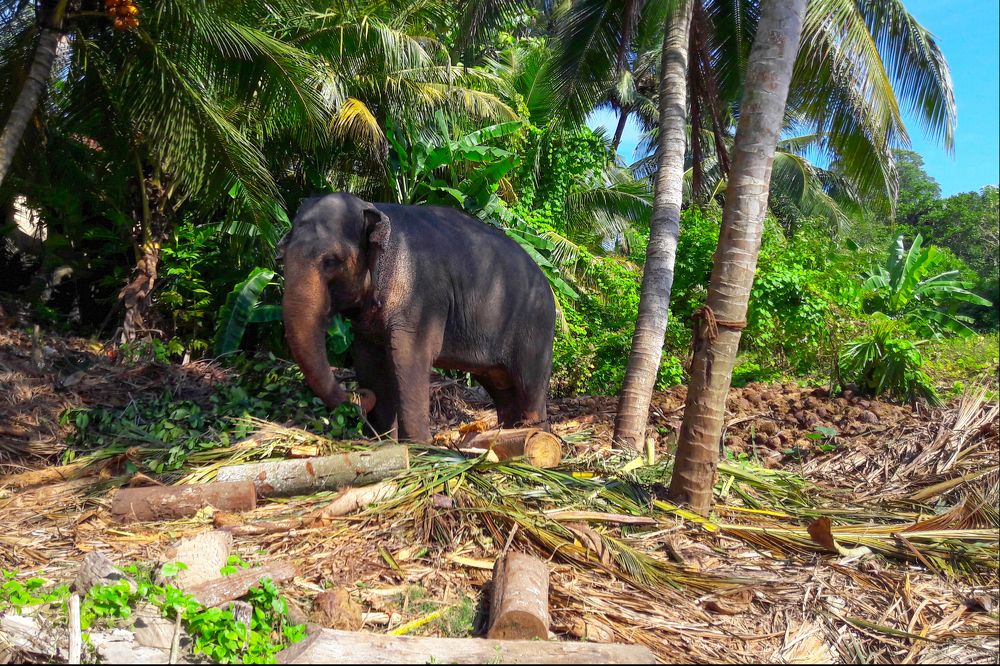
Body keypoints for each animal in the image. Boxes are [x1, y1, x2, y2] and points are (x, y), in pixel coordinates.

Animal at [278, 192, 556, 443]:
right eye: (282, 257)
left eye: (331, 261)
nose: (360, 395)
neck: (376, 209)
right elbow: (369, 362)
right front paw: (384, 443)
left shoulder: (423, 297)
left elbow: (409, 356)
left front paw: (421, 447)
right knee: (502, 388)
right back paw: (510, 435)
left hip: (536, 327)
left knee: (529, 385)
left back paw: (535, 436)